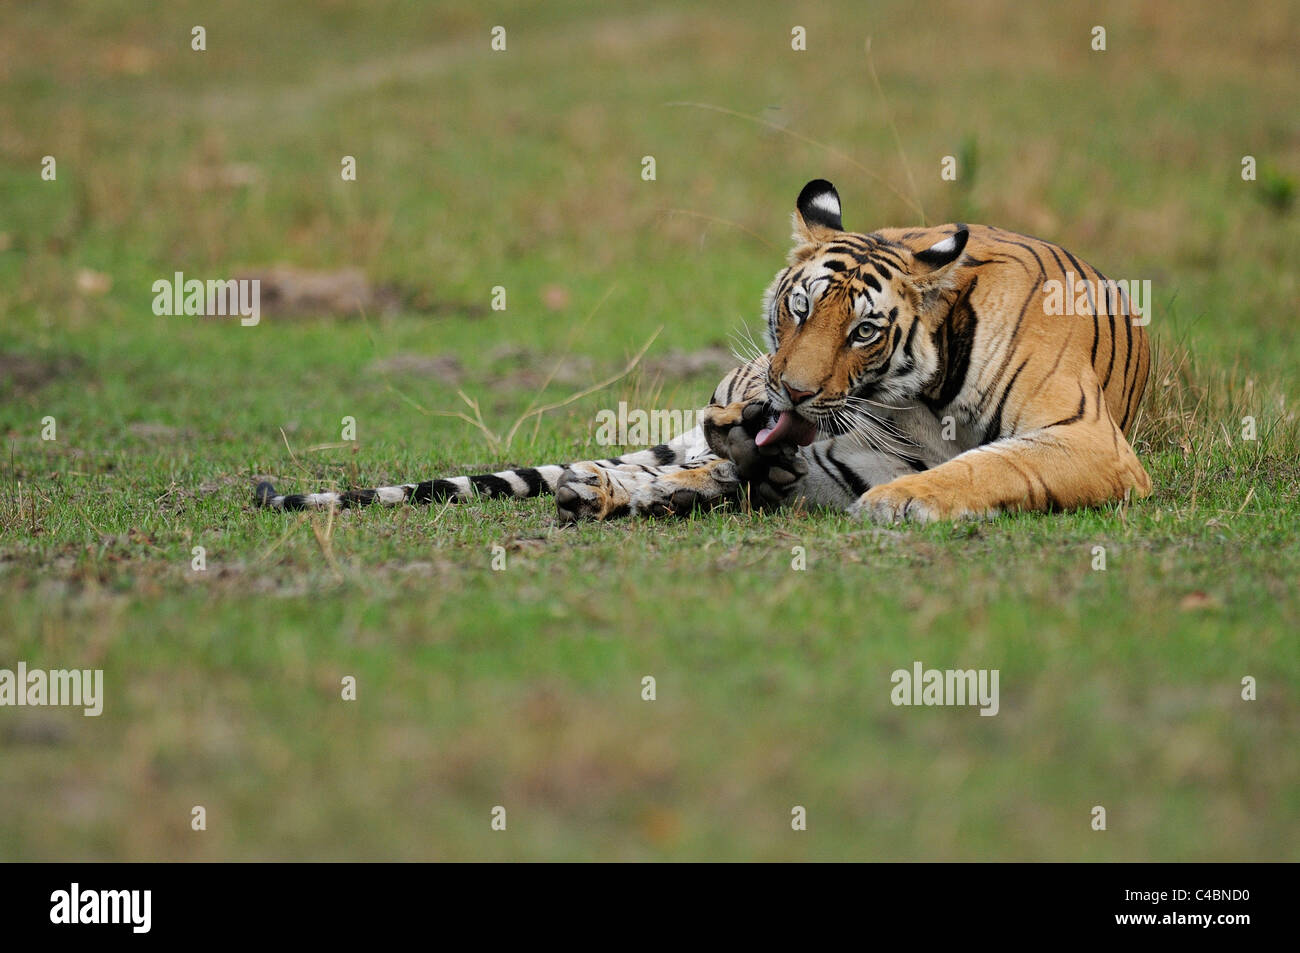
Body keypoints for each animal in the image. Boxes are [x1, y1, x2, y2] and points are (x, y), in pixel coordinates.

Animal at [250, 178, 1149, 520]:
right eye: (795, 311)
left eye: (863, 330)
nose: (788, 394)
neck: (919, 407)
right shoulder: (840, 449)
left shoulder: (1088, 439)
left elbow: (990, 464)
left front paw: (905, 501)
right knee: (702, 459)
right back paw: (618, 486)